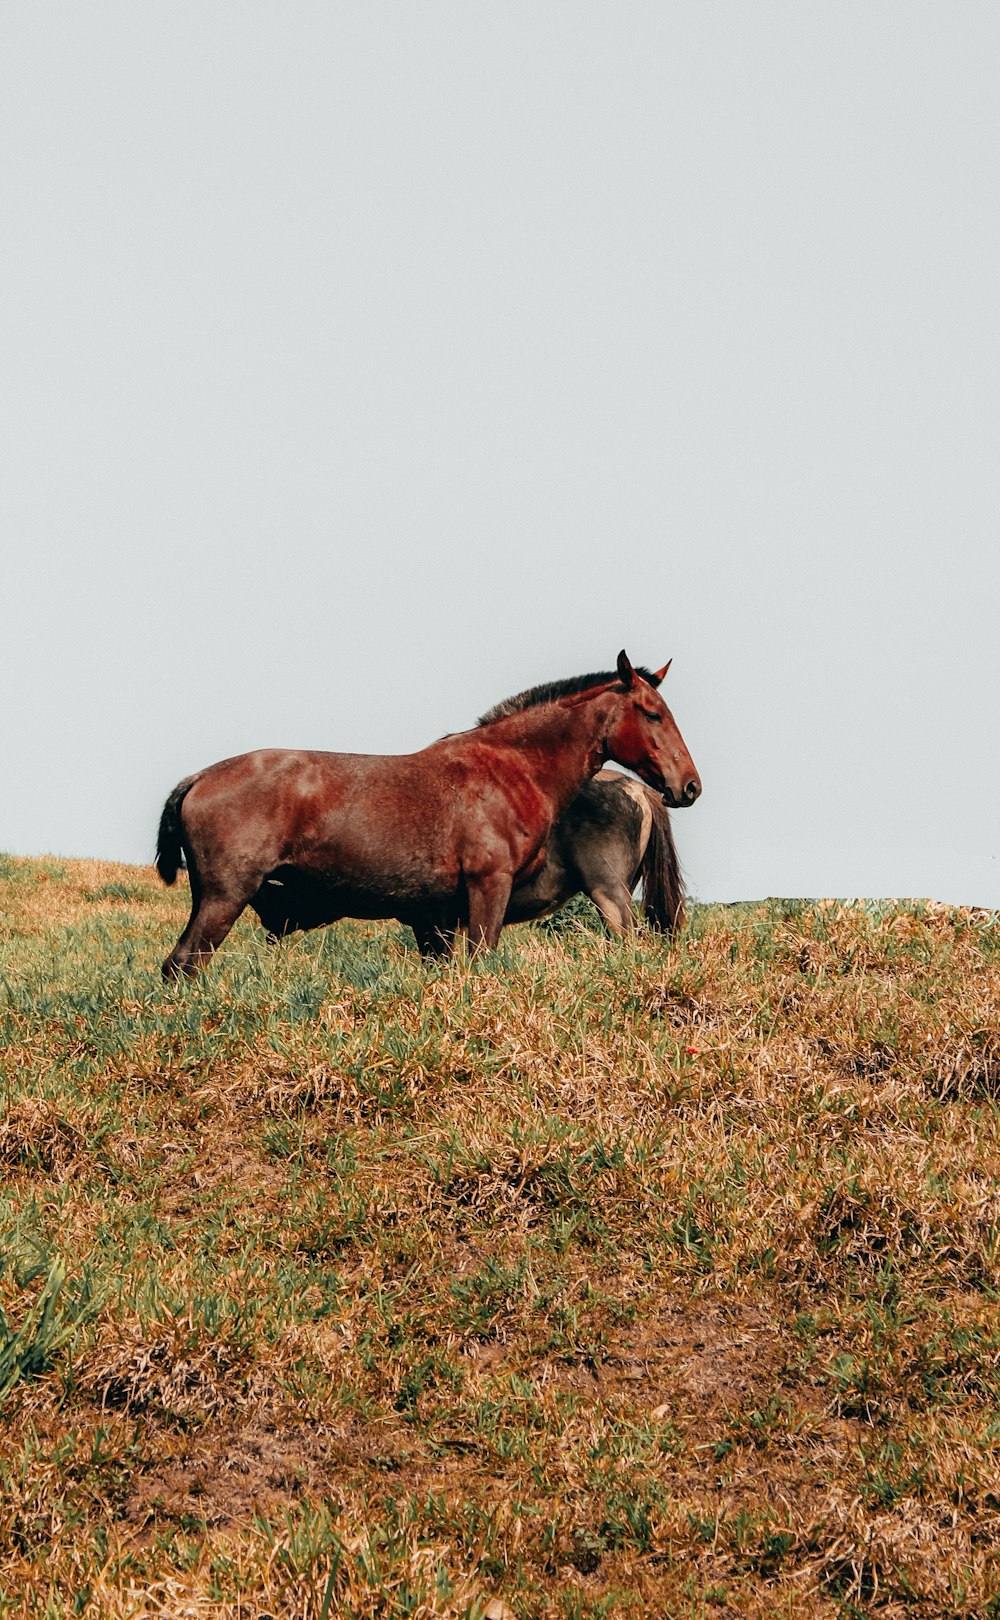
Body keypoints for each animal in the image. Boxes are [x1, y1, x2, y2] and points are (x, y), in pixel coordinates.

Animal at [158, 644, 703, 972]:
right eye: (653, 714)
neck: (509, 769)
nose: (690, 786)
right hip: (224, 899)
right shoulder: (487, 888)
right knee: (182, 965)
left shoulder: (437, 918)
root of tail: (199, 778)